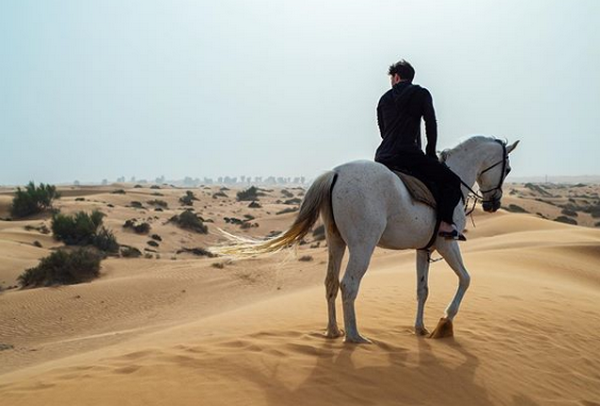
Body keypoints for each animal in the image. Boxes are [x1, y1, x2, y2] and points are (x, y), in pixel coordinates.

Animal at [214, 136, 520, 342]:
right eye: (507, 170)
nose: (493, 204)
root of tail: (335, 173)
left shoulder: (424, 249)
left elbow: (422, 289)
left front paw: (420, 328)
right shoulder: (447, 243)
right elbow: (466, 279)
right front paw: (444, 323)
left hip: (336, 241)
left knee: (330, 283)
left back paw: (333, 330)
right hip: (363, 245)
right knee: (349, 284)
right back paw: (353, 336)